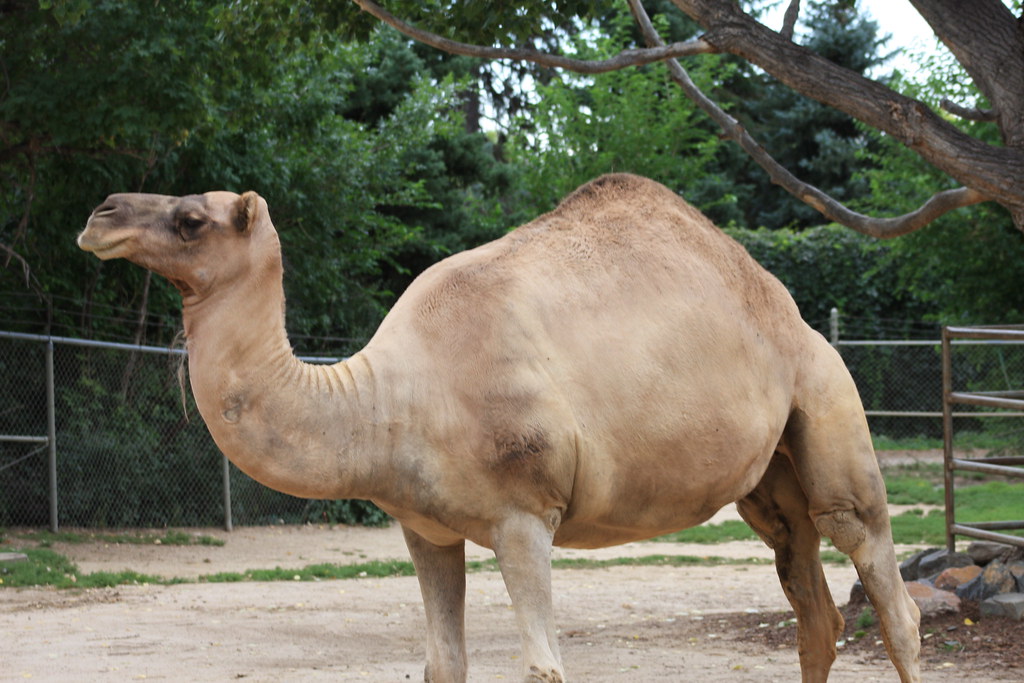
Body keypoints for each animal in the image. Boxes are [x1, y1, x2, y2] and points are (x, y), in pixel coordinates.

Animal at [77, 173, 920, 682]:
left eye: (191, 218)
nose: (99, 212)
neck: (388, 397)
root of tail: (791, 313)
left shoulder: (525, 516)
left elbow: (543, 666)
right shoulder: (424, 527)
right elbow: (442, 665)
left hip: (827, 399)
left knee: (884, 581)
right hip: (768, 479)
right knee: (811, 601)